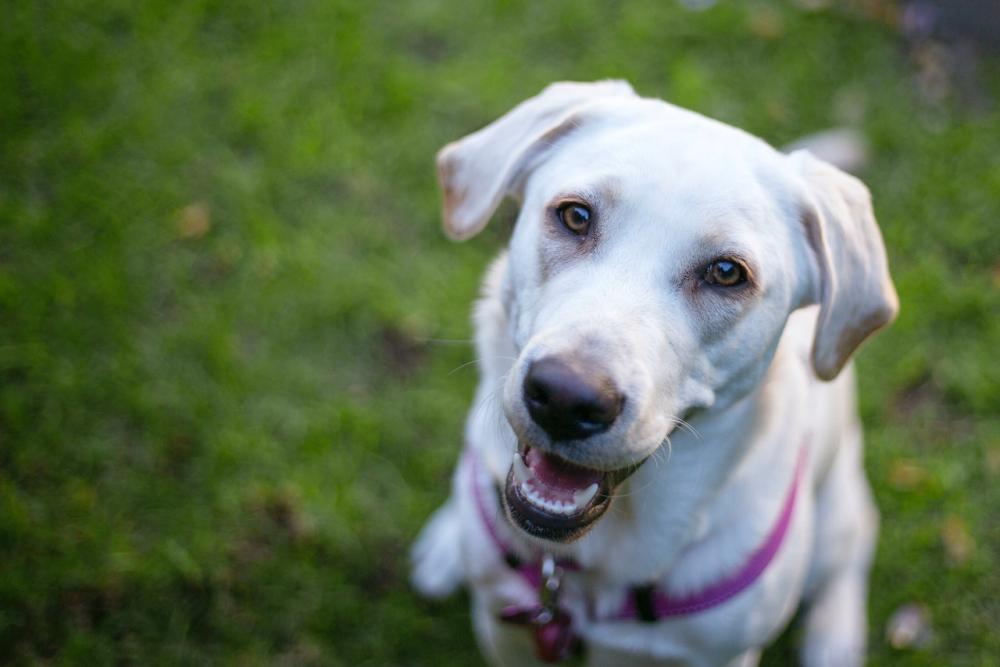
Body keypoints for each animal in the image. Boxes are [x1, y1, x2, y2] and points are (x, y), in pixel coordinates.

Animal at [410, 81, 904, 664]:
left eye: (727, 272)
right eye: (575, 216)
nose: (566, 398)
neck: (589, 575)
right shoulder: (505, 626)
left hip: (838, 509)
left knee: (849, 558)